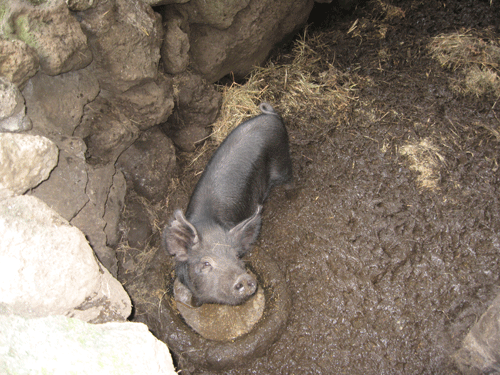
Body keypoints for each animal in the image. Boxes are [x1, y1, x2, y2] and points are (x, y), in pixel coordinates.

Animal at [164, 102, 292, 306]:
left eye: (237, 257)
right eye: (206, 263)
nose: (244, 278)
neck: (209, 226)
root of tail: (271, 115)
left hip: (282, 160)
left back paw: (290, 195)